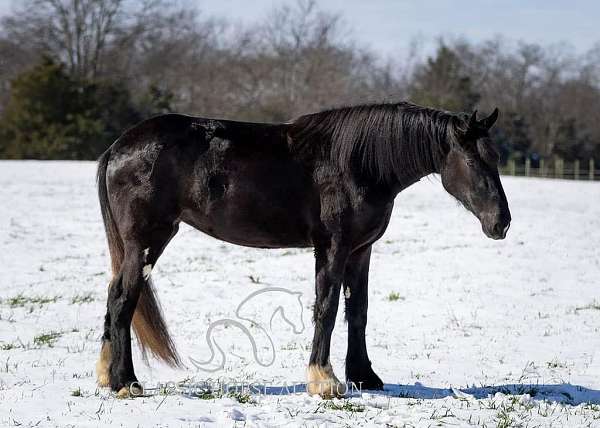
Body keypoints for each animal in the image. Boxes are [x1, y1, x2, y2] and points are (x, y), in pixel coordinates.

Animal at [95, 101, 510, 398]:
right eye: (471, 159)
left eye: (496, 159)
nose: (501, 223)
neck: (357, 163)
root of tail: (117, 148)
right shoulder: (332, 248)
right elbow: (326, 309)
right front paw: (324, 380)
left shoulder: (361, 251)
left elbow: (358, 311)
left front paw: (364, 376)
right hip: (147, 243)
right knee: (124, 300)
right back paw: (125, 383)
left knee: (114, 296)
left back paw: (105, 374)